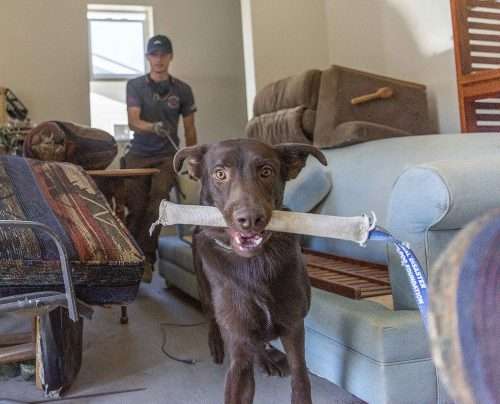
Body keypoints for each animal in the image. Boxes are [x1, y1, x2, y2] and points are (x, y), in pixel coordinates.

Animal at [174, 139, 326, 404]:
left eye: (266, 171)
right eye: (220, 174)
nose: (250, 218)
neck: (255, 262)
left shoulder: (294, 327)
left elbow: (301, 379)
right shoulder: (239, 345)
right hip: (204, 288)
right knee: (211, 315)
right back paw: (217, 344)